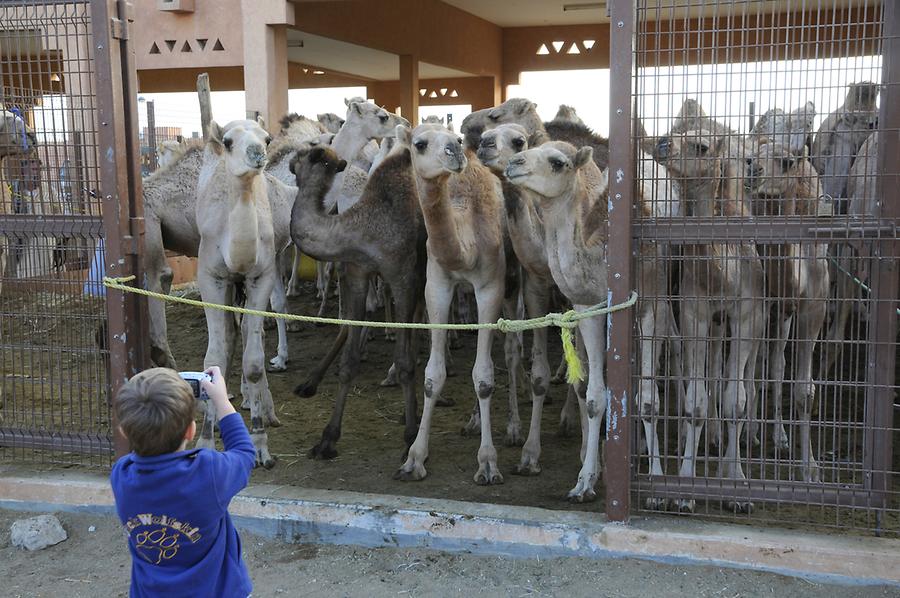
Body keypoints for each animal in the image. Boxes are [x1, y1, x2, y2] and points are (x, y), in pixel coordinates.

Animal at [193, 120, 296, 468]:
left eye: (267, 138)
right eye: (227, 141)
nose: (257, 153)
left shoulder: (259, 277)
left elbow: (253, 361)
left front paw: (261, 445)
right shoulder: (210, 278)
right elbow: (214, 358)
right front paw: (206, 441)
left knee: (252, 334)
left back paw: (262, 405)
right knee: (230, 333)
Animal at [290, 144, 428, 460]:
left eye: (304, 155)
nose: (288, 162)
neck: (365, 229)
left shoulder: (402, 276)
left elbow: (404, 362)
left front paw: (410, 438)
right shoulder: (358, 272)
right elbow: (349, 361)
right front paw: (328, 439)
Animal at [396, 123, 516, 488]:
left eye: (458, 138)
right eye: (420, 143)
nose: (455, 151)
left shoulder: (491, 286)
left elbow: (484, 376)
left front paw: (488, 463)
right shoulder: (436, 285)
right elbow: (432, 376)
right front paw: (414, 458)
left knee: (512, 353)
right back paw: (474, 421)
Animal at [652, 123, 768, 516]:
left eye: (700, 146)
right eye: (674, 132)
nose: (661, 143)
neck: (722, 271)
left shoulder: (748, 312)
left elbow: (737, 402)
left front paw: (737, 486)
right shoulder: (694, 311)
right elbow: (696, 403)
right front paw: (686, 489)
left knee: (745, 382)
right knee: (708, 368)